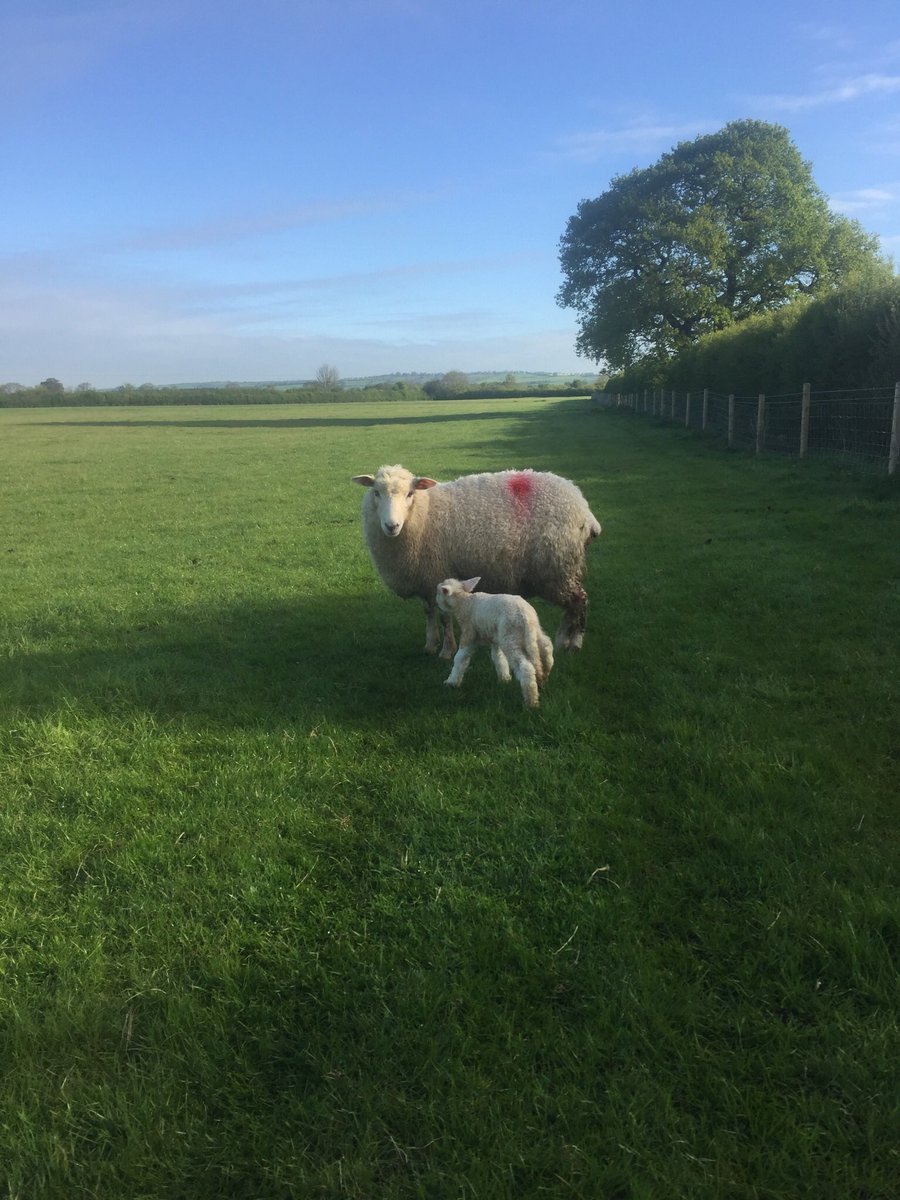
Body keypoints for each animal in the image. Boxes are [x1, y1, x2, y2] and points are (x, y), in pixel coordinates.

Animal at [351, 464, 601, 658]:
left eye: (410, 494)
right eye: (376, 493)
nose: (391, 526)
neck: (425, 514)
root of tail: (586, 511)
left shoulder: (439, 572)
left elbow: (444, 617)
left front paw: (446, 651)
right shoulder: (423, 578)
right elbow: (429, 612)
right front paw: (430, 645)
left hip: (558, 567)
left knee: (578, 601)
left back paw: (571, 643)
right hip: (562, 570)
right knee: (574, 604)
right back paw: (564, 641)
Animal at [435, 577, 554, 707]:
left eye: (438, 592)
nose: (436, 603)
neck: (464, 602)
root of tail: (525, 616)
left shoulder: (468, 634)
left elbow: (460, 658)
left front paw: (451, 682)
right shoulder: (495, 639)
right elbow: (498, 658)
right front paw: (504, 679)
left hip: (509, 637)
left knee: (526, 667)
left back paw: (531, 702)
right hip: (533, 632)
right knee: (547, 650)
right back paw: (544, 679)